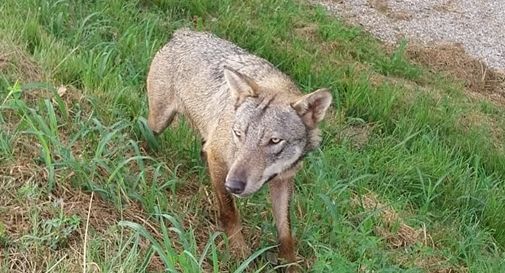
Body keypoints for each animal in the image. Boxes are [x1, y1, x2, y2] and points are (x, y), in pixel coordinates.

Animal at [146, 28, 330, 268]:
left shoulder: (283, 180)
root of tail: (183, 33)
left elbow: (286, 233)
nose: (233, 185)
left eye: (274, 141)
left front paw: (290, 264)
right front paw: (239, 253)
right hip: (159, 122)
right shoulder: (219, 159)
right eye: (239, 133)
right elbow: (230, 212)